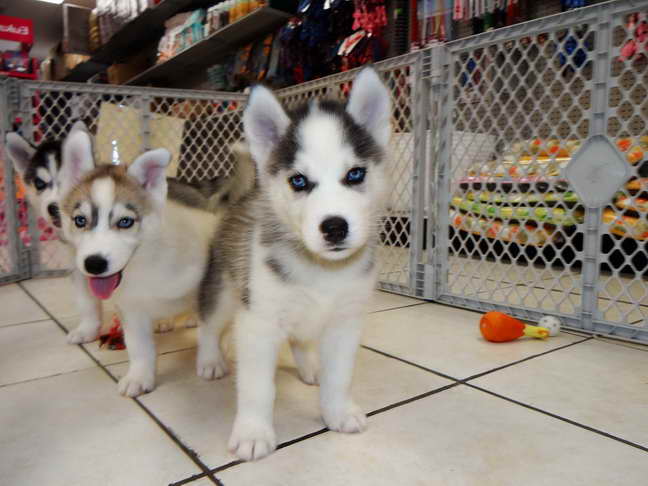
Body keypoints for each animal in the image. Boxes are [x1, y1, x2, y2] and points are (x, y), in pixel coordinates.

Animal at [197, 67, 390, 460]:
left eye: (355, 174)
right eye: (299, 181)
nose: (334, 227)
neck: (322, 270)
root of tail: (245, 196)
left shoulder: (345, 321)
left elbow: (339, 376)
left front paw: (337, 411)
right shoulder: (258, 322)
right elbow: (257, 388)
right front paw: (253, 432)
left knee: (301, 338)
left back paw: (310, 366)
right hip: (226, 289)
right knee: (208, 324)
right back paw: (209, 360)